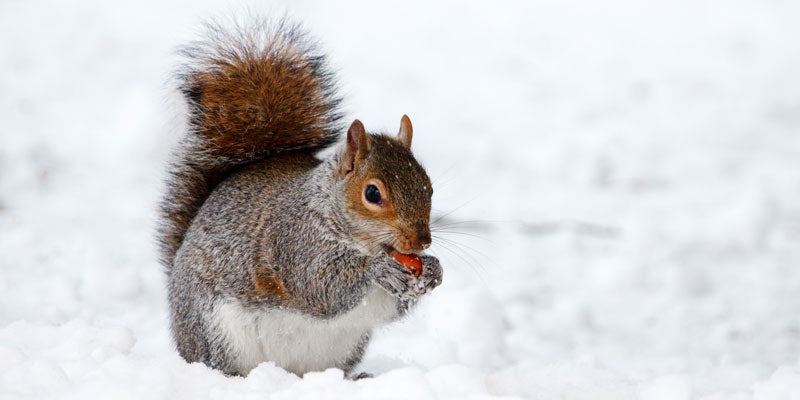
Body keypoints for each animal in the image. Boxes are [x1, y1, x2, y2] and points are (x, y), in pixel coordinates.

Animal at [158, 18, 443, 378]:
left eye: (428, 186)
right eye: (372, 193)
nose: (422, 242)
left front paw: (433, 270)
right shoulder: (294, 240)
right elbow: (319, 284)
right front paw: (378, 270)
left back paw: (355, 378)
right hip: (215, 332)